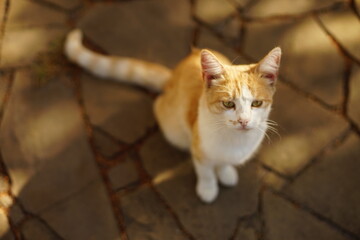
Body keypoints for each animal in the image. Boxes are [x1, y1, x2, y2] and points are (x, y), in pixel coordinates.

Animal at [64, 29, 282, 203]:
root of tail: (173, 77)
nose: (243, 121)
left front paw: (226, 172)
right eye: (228, 104)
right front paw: (208, 188)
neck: (236, 140)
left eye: (256, 103)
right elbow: (206, 170)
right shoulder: (198, 146)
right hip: (172, 127)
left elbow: (223, 163)